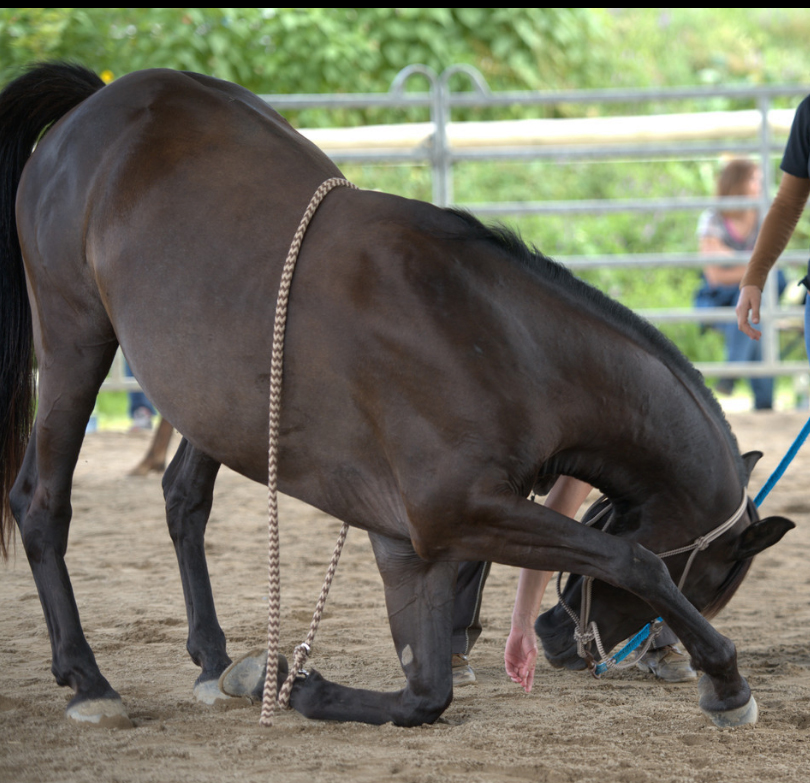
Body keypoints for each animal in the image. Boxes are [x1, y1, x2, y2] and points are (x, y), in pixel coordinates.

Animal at [0, 64, 792, 732]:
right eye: (708, 580)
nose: (558, 639)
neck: (503, 340)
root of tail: (94, 106)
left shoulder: (410, 544)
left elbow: (425, 692)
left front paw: (292, 682)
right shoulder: (456, 509)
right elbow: (631, 560)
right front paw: (726, 681)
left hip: (210, 400)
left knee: (183, 499)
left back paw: (214, 660)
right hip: (74, 340)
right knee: (40, 501)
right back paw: (89, 680)